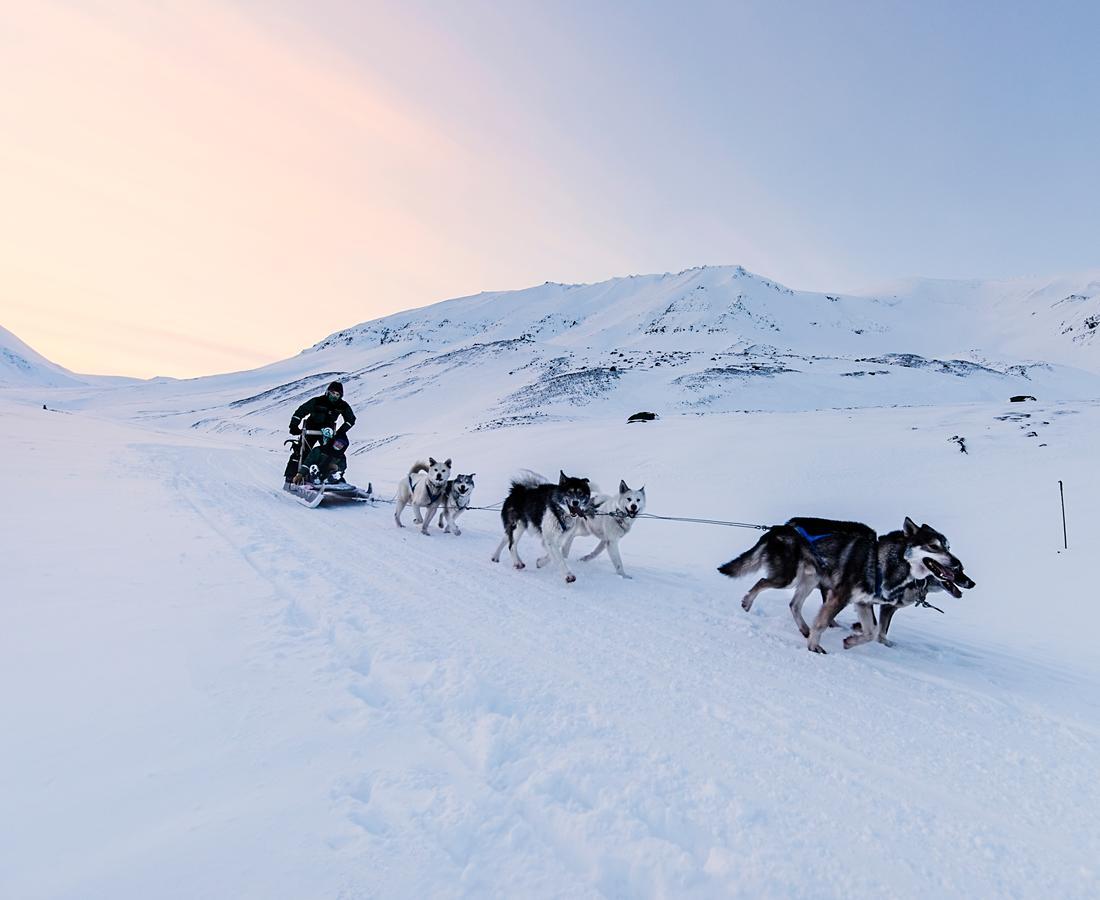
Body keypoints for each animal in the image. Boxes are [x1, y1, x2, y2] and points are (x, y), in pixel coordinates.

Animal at [721, 514, 972, 646]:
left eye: (947, 547)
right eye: (933, 547)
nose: (957, 563)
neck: (884, 563)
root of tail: (782, 527)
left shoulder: (863, 602)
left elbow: (872, 632)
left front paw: (850, 641)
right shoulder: (842, 596)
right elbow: (826, 623)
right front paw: (815, 647)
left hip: (809, 580)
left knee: (793, 604)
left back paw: (804, 629)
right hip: (788, 577)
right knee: (762, 583)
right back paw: (747, 603)